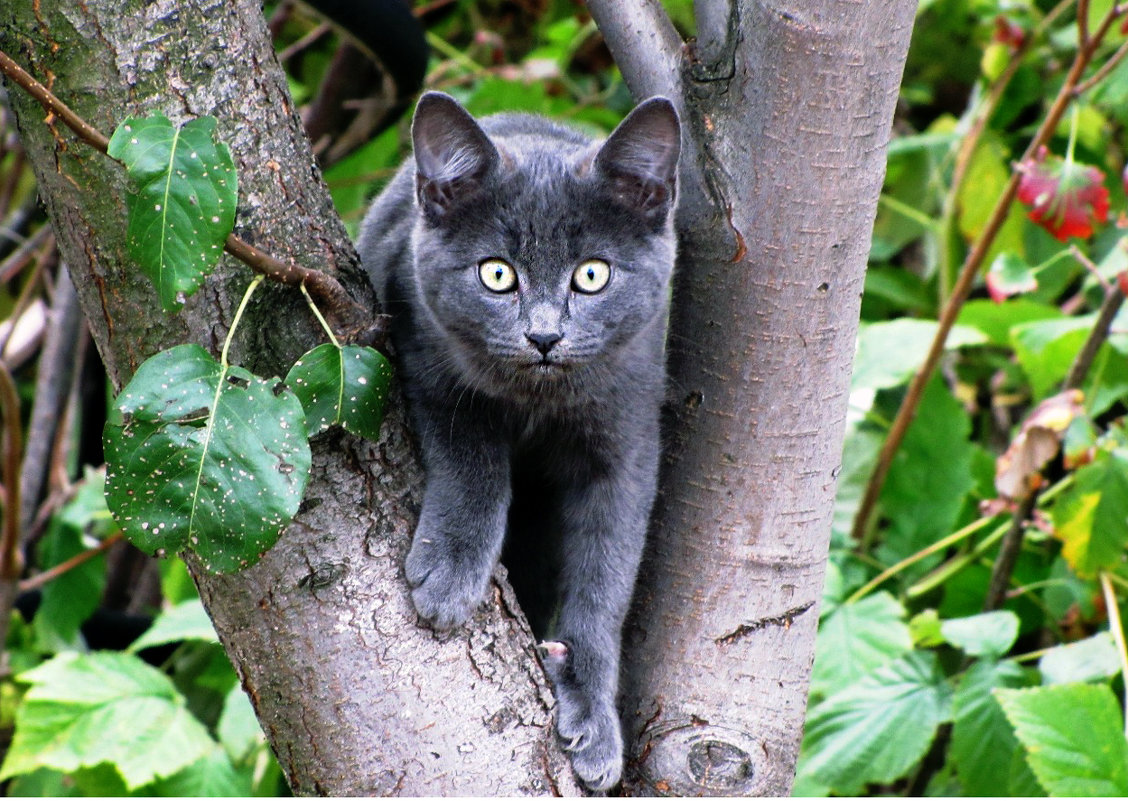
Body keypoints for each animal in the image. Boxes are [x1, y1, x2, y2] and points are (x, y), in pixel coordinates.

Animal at [360, 92, 676, 789]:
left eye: (592, 275)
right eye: (497, 275)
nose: (544, 336)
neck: (538, 401)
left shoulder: (627, 436)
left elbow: (607, 572)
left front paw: (591, 709)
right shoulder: (424, 351)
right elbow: (474, 456)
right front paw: (450, 575)